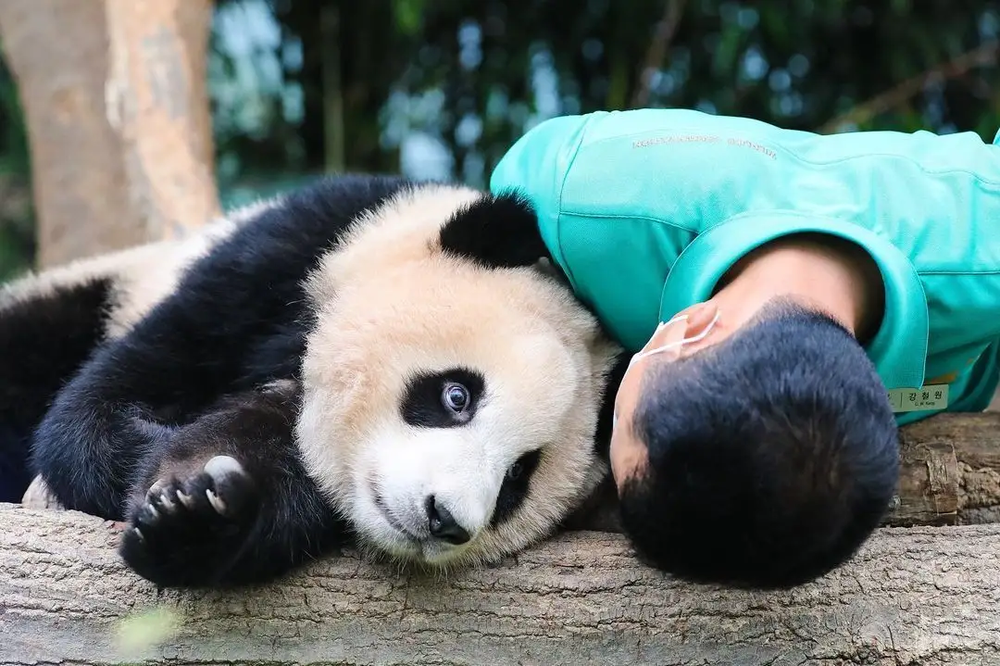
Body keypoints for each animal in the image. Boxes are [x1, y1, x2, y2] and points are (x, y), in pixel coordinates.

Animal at [3, 175, 628, 588]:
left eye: (519, 476)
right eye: (458, 396)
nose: (445, 519)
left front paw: (199, 515)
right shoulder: (280, 262)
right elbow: (106, 400)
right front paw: (171, 474)